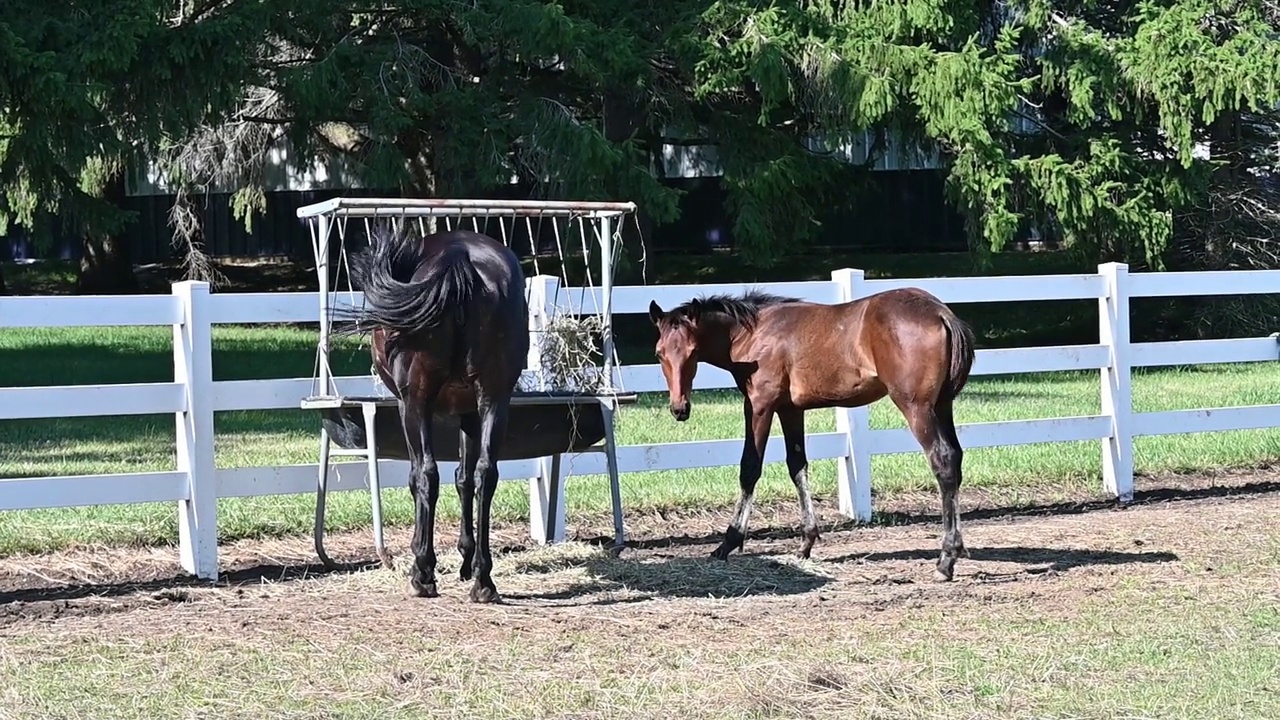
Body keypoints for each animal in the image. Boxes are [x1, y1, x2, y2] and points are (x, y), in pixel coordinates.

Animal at [340, 222, 529, 599]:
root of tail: (458, 255)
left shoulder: (410, 406)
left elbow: (421, 476)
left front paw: (425, 560)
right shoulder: (470, 413)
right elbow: (465, 478)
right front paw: (467, 557)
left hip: (416, 404)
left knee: (427, 474)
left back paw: (423, 573)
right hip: (495, 399)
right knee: (486, 474)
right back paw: (483, 580)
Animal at [650, 285, 977, 576]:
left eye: (692, 351)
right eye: (659, 353)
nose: (679, 408)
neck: (753, 333)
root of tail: (940, 312)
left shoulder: (759, 405)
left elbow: (750, 467)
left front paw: (728, 542)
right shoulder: (790, 409)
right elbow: (797, 465)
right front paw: (806, 542)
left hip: (916, 407)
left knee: (942, 461)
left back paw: (946, 559)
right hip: (942, 405)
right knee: (956, 458)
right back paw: (957, 549)